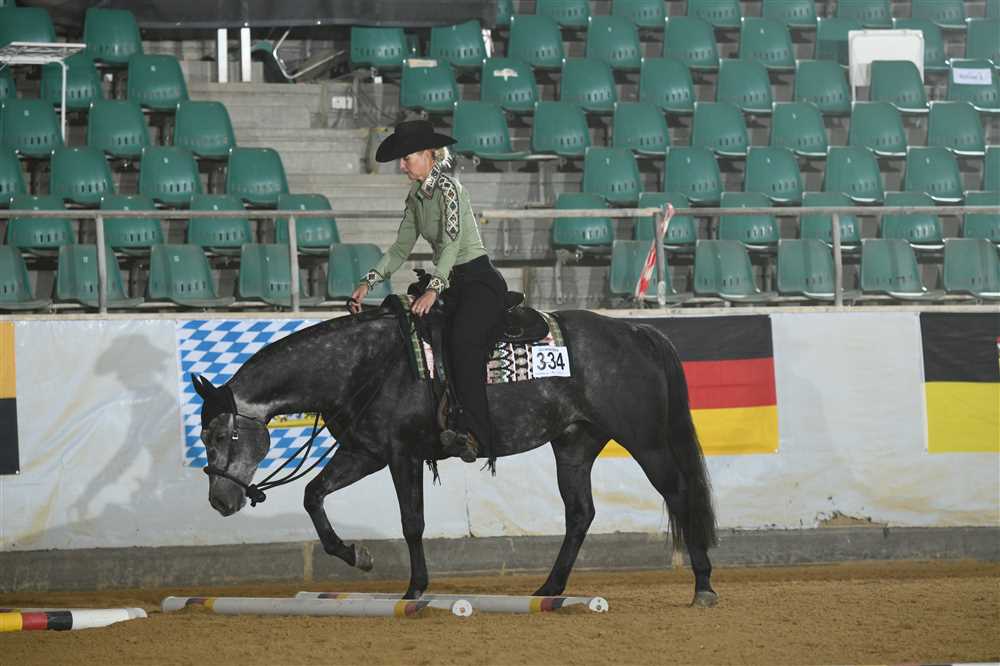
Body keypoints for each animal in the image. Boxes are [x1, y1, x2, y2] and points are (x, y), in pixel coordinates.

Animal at [191, 305, 719, 606]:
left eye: (220, 434)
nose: (218, 500)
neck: (365, 364)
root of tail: (635, 332)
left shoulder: (401, 453)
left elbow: (412, 522)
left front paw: (415, 589)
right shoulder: (365, 450)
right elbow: (313, 495)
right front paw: (356, 555)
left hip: (645, 441)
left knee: (681, 494)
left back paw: (703, 586)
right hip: (574, 444)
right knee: (580, 513)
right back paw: (550, 590)